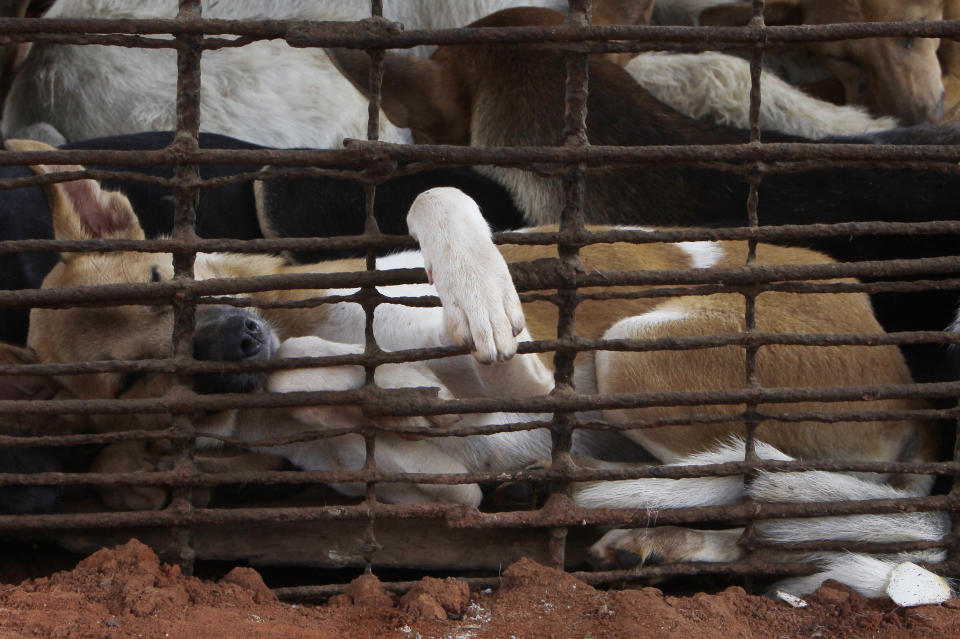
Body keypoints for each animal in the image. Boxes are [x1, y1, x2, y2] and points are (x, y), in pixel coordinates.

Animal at [18, 141, 948, 600]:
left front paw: (474, 284)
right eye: (130, 382)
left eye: (162, 280)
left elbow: (435, 197)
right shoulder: (452, 476)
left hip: (629, 356)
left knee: (764, 480)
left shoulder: (535, 380)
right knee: (762, 498)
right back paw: (663, 532)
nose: (240, 341)